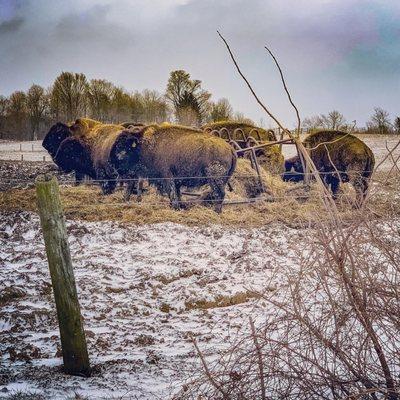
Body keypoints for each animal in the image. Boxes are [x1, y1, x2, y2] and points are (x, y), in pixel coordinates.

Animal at [108, 124, 238, 212]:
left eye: (121, 147)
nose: (111, 162)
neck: (145, 145)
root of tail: (230, 148)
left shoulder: (167, 177)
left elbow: (171, 193)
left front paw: (175, 207)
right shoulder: (176, 181)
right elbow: (177, 193)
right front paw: (179, 206)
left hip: (215, 179)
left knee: (219, 194)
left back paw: (216, 211)